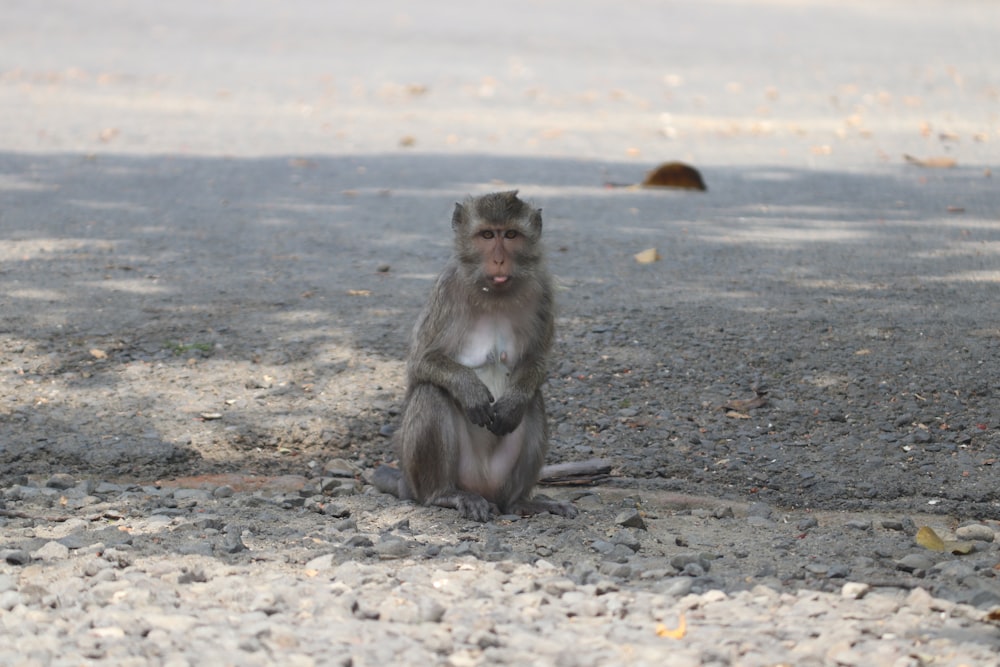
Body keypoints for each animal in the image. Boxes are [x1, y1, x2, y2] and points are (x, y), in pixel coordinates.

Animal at [374, 190, 580, 524]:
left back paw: (522, 502)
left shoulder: (543, 290)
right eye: (486, 235)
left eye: (510, 235)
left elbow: (535, 361)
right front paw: (468, 389)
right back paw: (444, 494)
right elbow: (419, 365)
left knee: (533, 401)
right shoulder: (446, 290)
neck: (493, 294)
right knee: (431, 393)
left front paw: (512, 402)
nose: (499, 260)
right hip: (436, 475)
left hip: (500, 478)